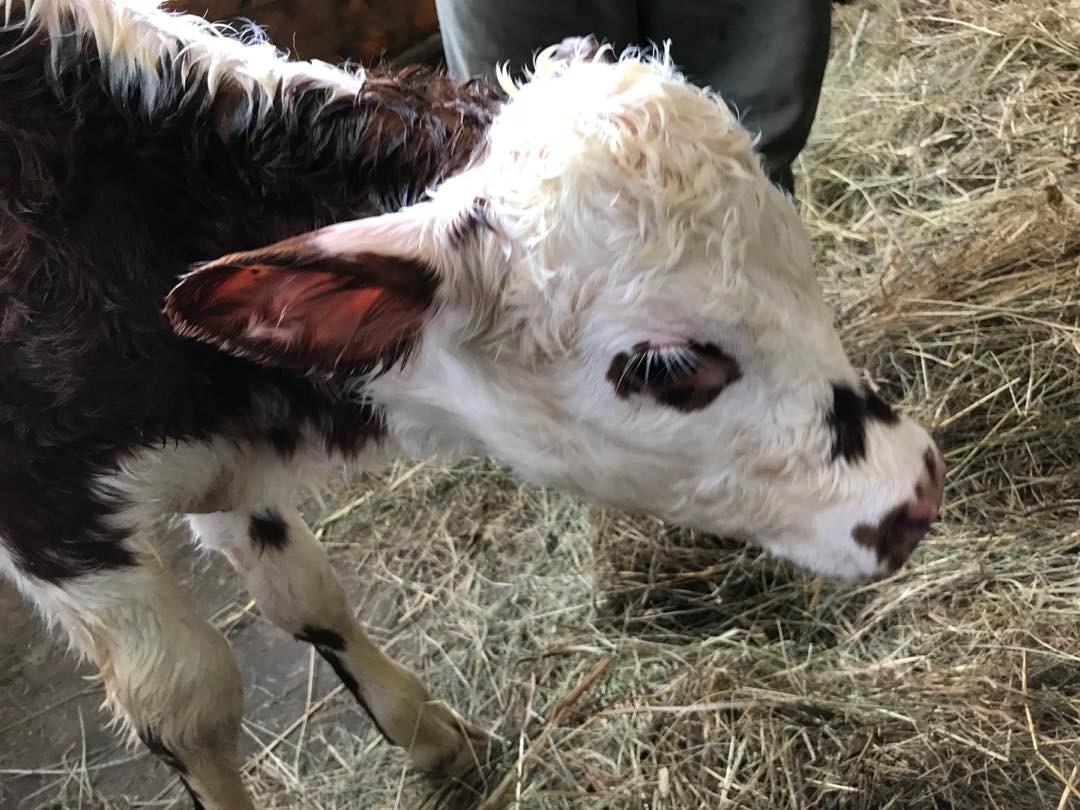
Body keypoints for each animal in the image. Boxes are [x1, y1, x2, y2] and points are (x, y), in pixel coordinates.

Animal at [0, 1, 945, 807]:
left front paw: (427, 731)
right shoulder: (53, 518)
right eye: (669, 366)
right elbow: (187, 702)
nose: (917, 487)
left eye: (796, 251)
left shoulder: (231, 466)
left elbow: (307, 595)